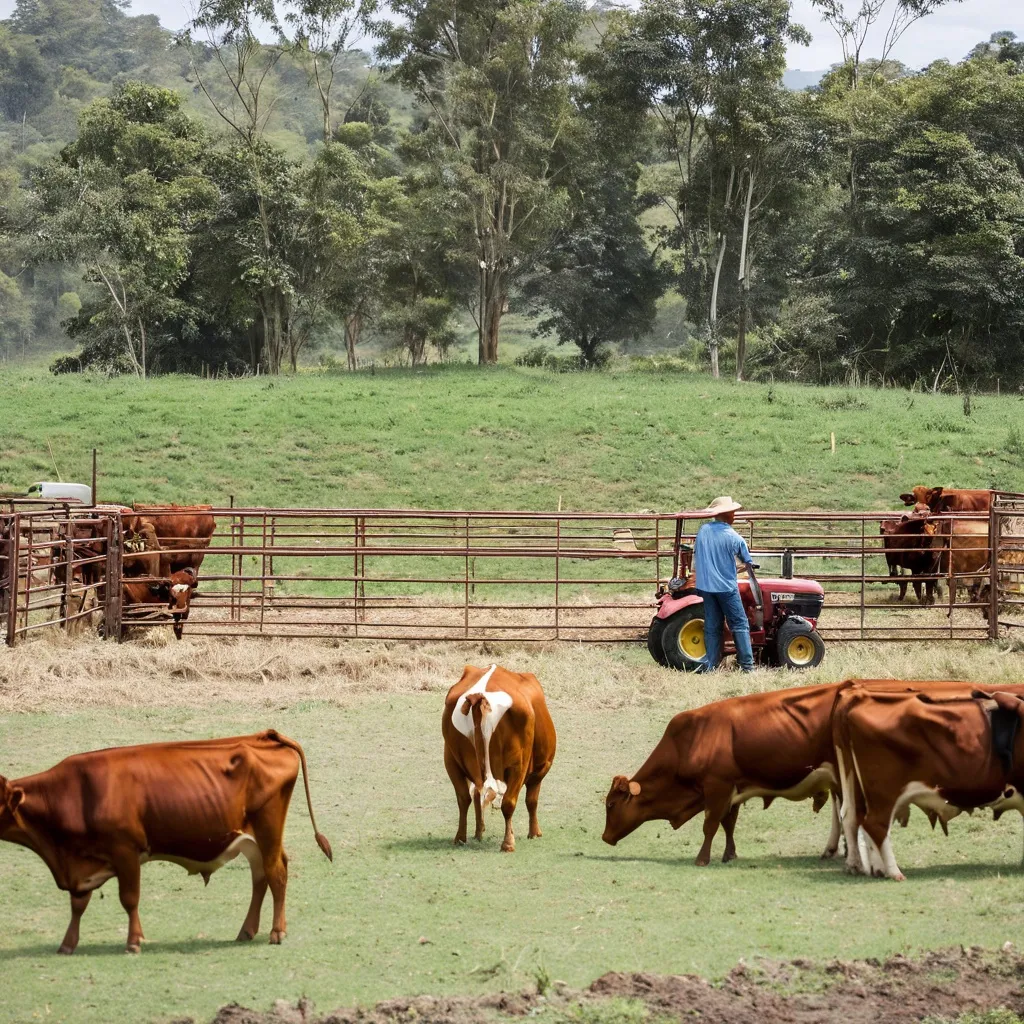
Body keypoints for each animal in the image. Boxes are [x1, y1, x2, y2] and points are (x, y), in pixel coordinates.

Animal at [0, 729, 329, 950]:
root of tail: (264, 736)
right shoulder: (84, 863)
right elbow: (78, 904)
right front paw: (68, 944)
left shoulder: (125, 850)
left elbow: (129, 898)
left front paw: (134, 941)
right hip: (251, 839)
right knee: (260, 876)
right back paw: (246, 931)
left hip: (267, 829)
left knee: (276, 874)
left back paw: (277, 932)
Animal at [438, 659, 552, 851]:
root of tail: (480, 695)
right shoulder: (539, 770)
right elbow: (531, 800)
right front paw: (534, 833)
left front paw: (479, 832)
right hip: (518, 764)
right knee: (508, 802)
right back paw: (508, 843)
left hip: (451, 759)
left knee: (465, 797)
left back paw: (461, 837)